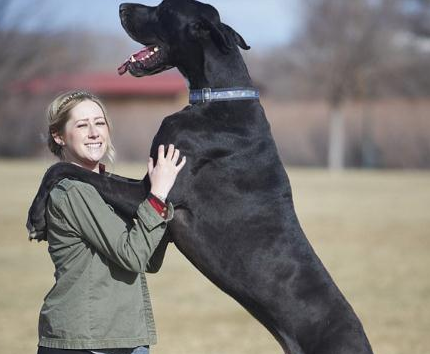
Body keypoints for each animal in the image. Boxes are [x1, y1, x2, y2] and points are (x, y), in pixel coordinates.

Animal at [28, 1, 374, 352]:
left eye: (163, 11)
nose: (122, 7)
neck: (216, 97)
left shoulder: (152, 193)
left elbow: (61, 168)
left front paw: (37, 216)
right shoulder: (149, 188)